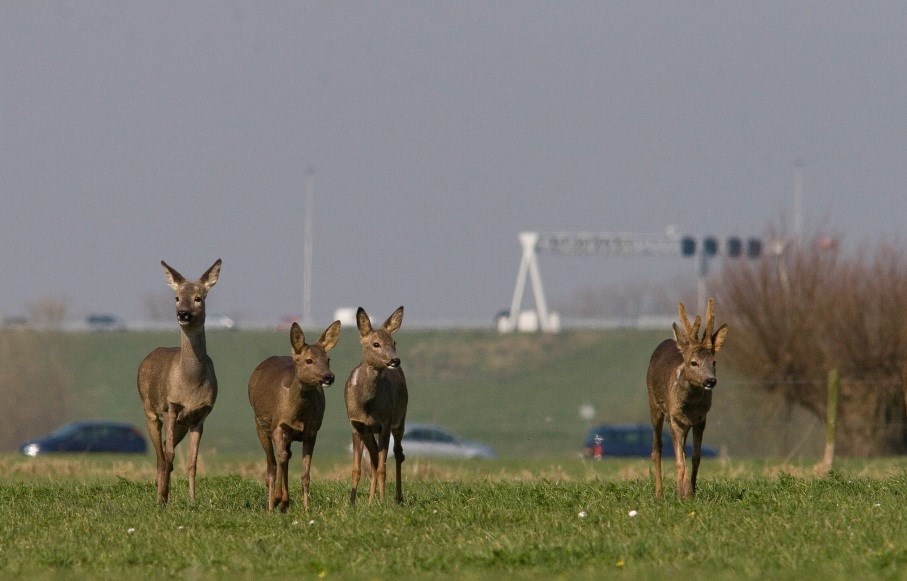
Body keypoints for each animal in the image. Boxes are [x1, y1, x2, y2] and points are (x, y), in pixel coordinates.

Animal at [137, 258, 222, 502]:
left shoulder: (199, 416)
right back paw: (160, 494)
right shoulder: (171, 408)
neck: (190, 384)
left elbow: (192, 462)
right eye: (176, 298)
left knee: (167, 450)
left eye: (198, 298)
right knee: (161, 454)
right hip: (150, 411)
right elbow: (168, 455)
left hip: (181, 424)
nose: (183, 313)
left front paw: (192, 500)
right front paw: (162, 498)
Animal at [248, 320, 340, 510]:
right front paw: (278, 498)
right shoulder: (278, 425)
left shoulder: (312, 431)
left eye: (328, 359)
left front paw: (306, 508)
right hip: (259, 424)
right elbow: (280, 458)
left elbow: (305, 474)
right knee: (272, 464)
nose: (329, 377)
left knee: (286, 456)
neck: (297, 416)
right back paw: (272, 503)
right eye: (309, 360)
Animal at [344, 308, 408, 502]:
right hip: (369, 432)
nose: (395, 361)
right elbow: (357, 469)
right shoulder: (356, 425)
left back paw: (397, 498)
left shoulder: (385, 423)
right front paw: (352, 502)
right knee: (373, 459)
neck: (366, 406)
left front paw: (383, 501)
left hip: (400, 418)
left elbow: (382, 468)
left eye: (394, 342)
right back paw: (371, 502)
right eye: (375, 344)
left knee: (398, 453)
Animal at [644, 300, 732, 498]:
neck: (689, 406)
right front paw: (680, 495)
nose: (710, 380)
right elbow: (679, 460)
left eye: (714, 362)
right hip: (654, 405)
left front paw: (690, 492)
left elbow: (695, 457)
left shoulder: (701, 419)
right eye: (693, 362)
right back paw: (659, 493)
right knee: (657, 447)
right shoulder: (674, 418)